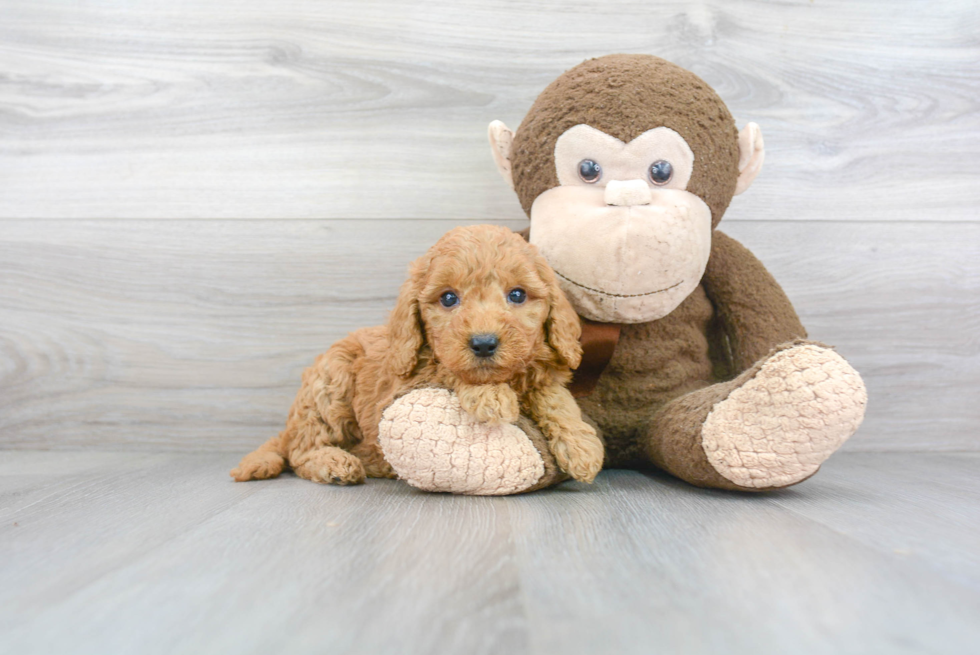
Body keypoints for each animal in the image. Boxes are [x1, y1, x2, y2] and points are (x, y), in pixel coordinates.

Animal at [233, 226, 604, 486]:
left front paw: (581, 445)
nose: (484, 344)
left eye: (517, 295)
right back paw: (335, 464)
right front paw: (490, 396)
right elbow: (449, 370)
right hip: (329, 386)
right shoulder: (407, 378)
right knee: (301, 450)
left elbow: (555, 396)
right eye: (449, 298)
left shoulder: (539, 368)